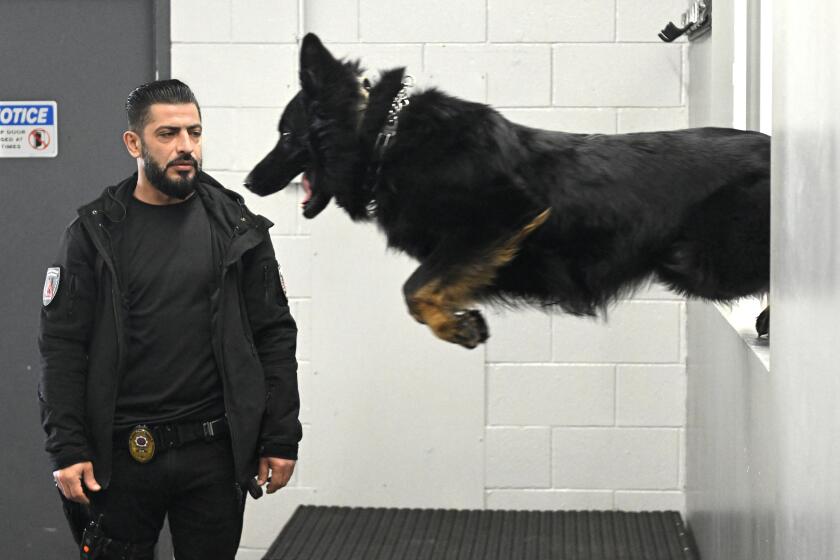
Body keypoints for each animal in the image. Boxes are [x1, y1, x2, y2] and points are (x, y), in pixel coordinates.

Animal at [243, 32, 768, 348]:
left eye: (286, 135)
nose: (248, 183)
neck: (383, 140)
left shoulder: (501, 219)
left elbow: (412, 289)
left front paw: (457, 326)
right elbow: (424, 288)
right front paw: (458, 321)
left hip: (704, 264)